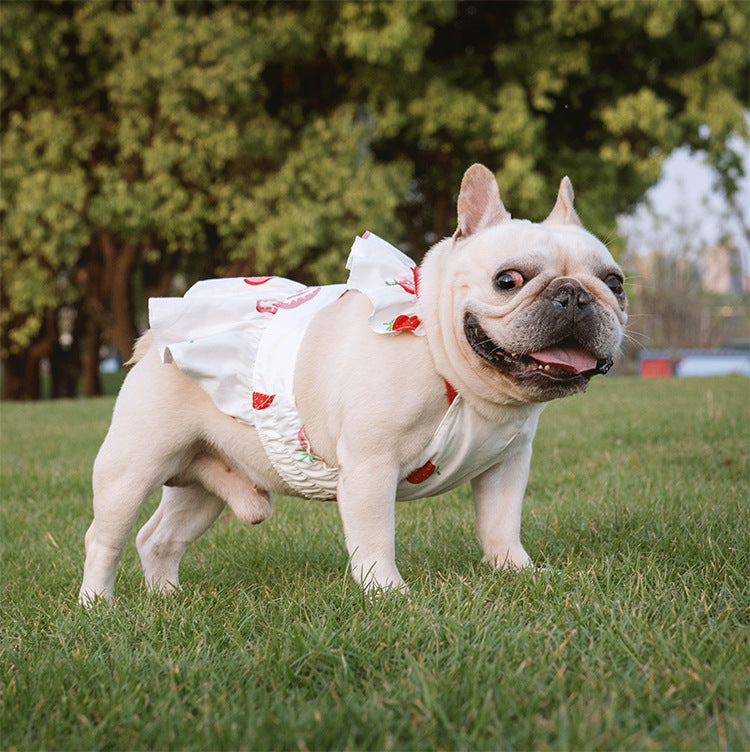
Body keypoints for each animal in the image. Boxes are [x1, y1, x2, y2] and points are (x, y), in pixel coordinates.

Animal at [78, 162, 628, 604]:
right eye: (508, 280)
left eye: (615, 283)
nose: (574, 295)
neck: (459, 376)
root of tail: (155, 339)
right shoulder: (370, 466)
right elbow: (375, 535)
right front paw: (386, 593)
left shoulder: (505, 466)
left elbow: (501, 523)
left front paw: (515, 572)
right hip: (132, 468)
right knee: (105, 539)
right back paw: (97, 606)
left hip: (203, 483)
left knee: (159, 538)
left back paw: (167, 600)